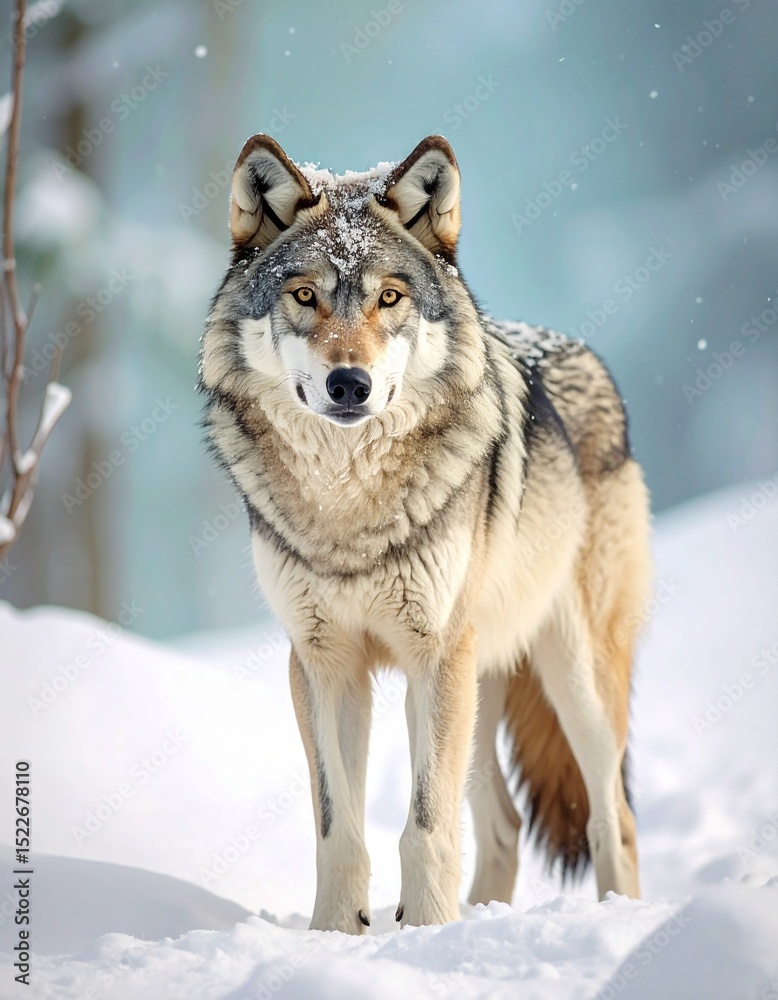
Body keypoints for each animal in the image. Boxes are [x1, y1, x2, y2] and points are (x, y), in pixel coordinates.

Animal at [199, 134, 652, 934]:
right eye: (305, 296)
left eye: (390, 297)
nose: (349, 383)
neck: (347, 506)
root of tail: (584, 354)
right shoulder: (323, 662)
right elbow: (337, 825)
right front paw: (337, 934)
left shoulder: (433, 654)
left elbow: (427, 822)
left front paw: (427, 931)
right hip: (477, 684)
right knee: (503, 826)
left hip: (567, 680)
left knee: (614, 818)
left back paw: (611, 921)